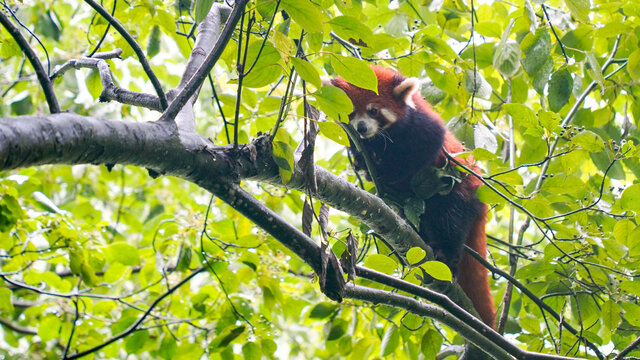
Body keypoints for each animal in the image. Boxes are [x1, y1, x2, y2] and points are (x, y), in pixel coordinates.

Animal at [330, 65, 496, 330]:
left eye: (373, 110)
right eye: (352, 113)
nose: (361, 128)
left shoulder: (424, 129)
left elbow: (421, 154)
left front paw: (392, 176)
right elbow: (362, 155)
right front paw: (365, 163)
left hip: (458, 190)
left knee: (450, 221)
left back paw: (446, 254)